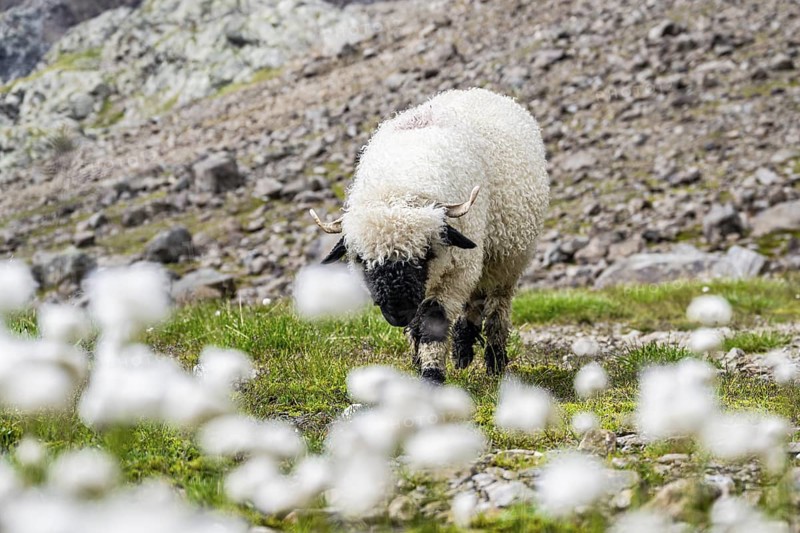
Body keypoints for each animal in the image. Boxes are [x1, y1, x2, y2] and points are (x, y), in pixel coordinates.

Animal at [311, 88, 549, 383]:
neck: (399, 186)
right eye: (362, 260)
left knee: (496, 306)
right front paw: (419, 361)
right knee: (475, 299)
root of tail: (478, 91)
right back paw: (462, 350)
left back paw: (495, 361)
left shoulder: (454, 270)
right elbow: (418, 323)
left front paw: (432, 375)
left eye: (426, 253)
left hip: (506, 260)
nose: (397, 312)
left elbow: (432, 322)